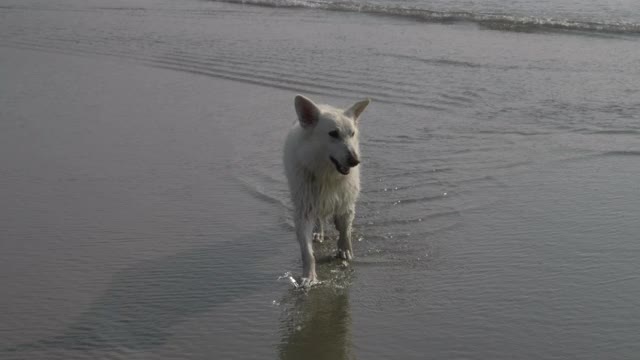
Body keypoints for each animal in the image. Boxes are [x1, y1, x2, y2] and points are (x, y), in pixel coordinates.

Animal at [284, 94, 370, 288]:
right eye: (333, 134)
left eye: (352, 134)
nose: (355, 161)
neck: (327, 175)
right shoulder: (304, 211)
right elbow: (308, 253)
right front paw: (309, 277)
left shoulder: (346, 203)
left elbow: (344, 230)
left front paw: (344, 250)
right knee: (319, 218)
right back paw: (318, 231)